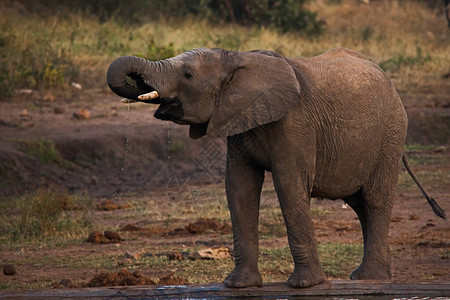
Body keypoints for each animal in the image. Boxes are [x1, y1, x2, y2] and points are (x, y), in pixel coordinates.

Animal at [106, 47, 446, 288]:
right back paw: (373, 276)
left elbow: (289, 184)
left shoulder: (294, 123)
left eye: (188, 75)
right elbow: (239, 187)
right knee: (360, 204)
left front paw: (305, 285)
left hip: (391, 135)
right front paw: (238, 285)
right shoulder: (238, 121)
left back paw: (369, 279)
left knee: (375, 199)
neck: (235, 58)